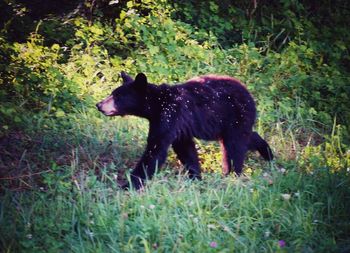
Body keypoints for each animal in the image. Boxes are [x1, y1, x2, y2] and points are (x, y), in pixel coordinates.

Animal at [96, 72, 274, 189]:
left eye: (117, 97)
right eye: (112, 93)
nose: (99, 105)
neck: (156, 104)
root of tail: (249, 93)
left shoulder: (170, 116)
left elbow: (156, 148)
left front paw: (129, 184)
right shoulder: (179, 126)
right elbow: (185, 149)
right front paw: (196, 176)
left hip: (234, 116)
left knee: (235, 147)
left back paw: (231, 174)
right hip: (228, 124)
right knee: (245, 138)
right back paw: (268, 154)